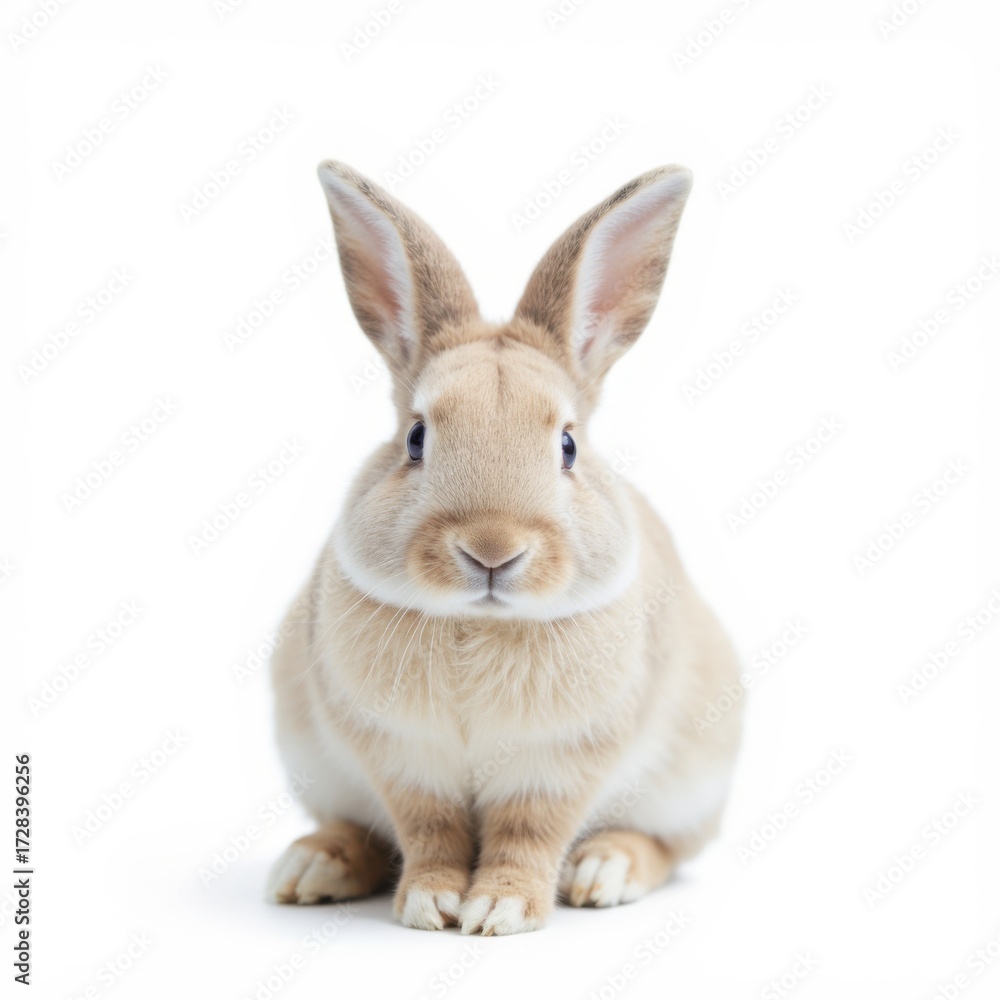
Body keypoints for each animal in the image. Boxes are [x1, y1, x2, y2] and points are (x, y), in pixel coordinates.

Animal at [265, 160, 743, 936]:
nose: (492, 551)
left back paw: (605, 870)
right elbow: (428, 832)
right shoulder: (404, 760)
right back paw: (313, 866)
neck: (478, 623)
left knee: (667, 845)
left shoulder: (558, 765)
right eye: (416, 438)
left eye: (568, 446)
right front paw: (431, 906)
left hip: (693, 779)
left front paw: (499, 909)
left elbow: (529, 833)